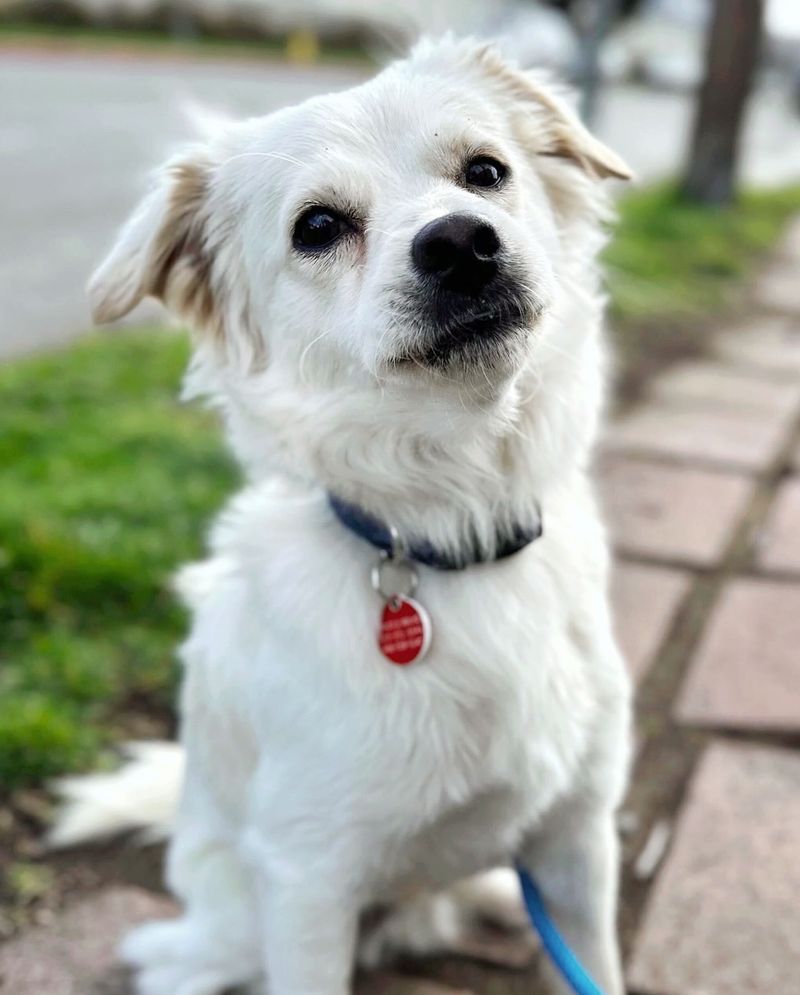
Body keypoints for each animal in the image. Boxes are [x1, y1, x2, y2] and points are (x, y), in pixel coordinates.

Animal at [53, 37, 636, 995]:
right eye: (318, 227)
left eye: (486, 171)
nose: (462, 242)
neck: (453, 532)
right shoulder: (307, 882)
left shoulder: (578, 841)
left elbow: (596, 965)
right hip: (239, 915)